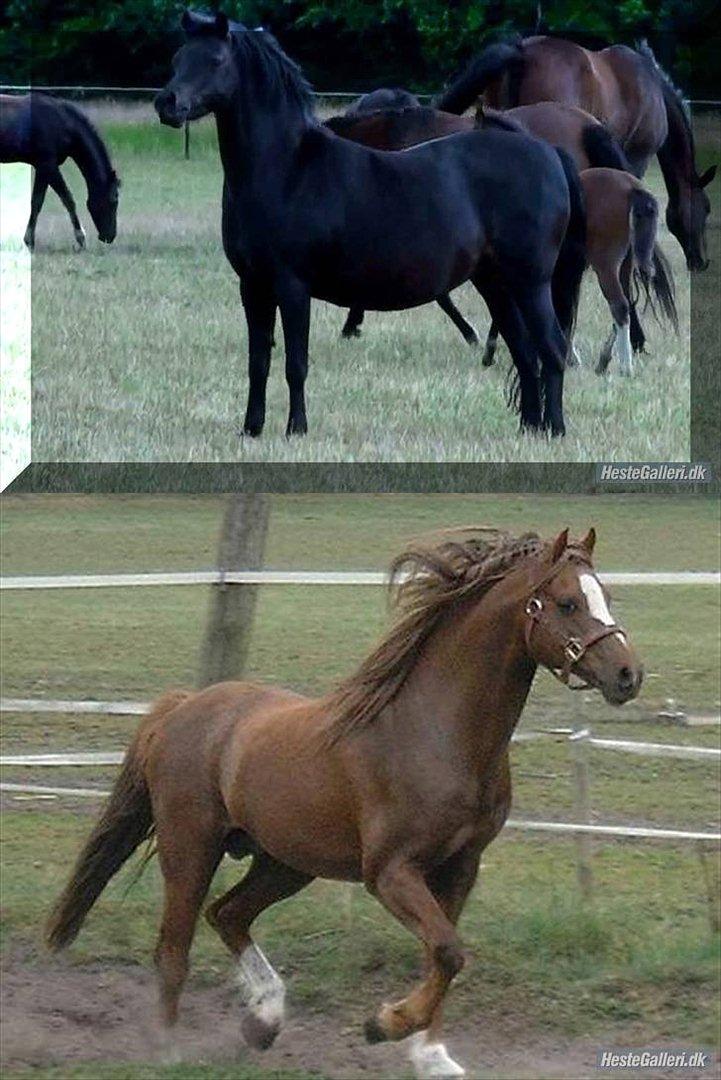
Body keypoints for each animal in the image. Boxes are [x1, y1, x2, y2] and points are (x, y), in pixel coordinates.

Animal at [0, 93, 120, 250]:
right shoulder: (48, 167)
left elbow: (43, 201)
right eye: (114, 201)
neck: (62, 123)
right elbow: (63, 200)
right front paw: (80, 239)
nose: (109, 237)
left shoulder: (45, 168)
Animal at [46, 526, 643, 1080]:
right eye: (566, 603)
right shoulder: (390, 872)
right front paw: (383, 1025)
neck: (435, 733)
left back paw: (263, 1021)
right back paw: (170, 1049)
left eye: (606, 595)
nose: (628, 675)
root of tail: (183, 707)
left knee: (227, 915)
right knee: (174, 947)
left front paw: (432, 1057)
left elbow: (441, 957)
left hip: (285, 863)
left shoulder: (461, 867)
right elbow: (449, 952)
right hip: (190, 847)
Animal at [154, 11, 586, 438]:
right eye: (177, 59)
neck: (287, 169)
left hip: (530, 282)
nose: (166, 103)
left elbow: (296, 364)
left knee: (551, 349)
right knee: (525, 353)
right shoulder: (253, 285)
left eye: (215, 61)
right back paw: (530, 428)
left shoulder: (292, 286)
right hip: (496, 284)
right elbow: (258, 362)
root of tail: (548, 152)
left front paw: (296, 429)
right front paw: (251, 429)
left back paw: (555, 429)